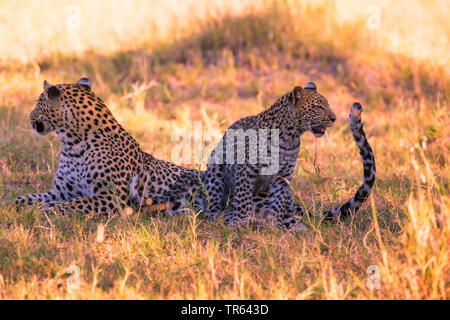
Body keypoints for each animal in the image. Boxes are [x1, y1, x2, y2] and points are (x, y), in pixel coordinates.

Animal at [14, 77, 200, 215]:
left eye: (38, 103)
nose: (30, 116)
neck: (73, 145)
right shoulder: (61, 191)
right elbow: (28, 198)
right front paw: (16, 205)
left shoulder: (111, 196)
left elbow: (74, 203)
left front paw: (44, 210)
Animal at [130, 81, 376, 229]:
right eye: (318, 107)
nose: (334, 118)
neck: (289, 136)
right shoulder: (245, 170)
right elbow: (243, 199)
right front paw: (241, 222)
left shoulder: (282, 176)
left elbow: (279, 202)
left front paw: (281, 225)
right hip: (215, 168)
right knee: (215, 202)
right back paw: (217, 216)